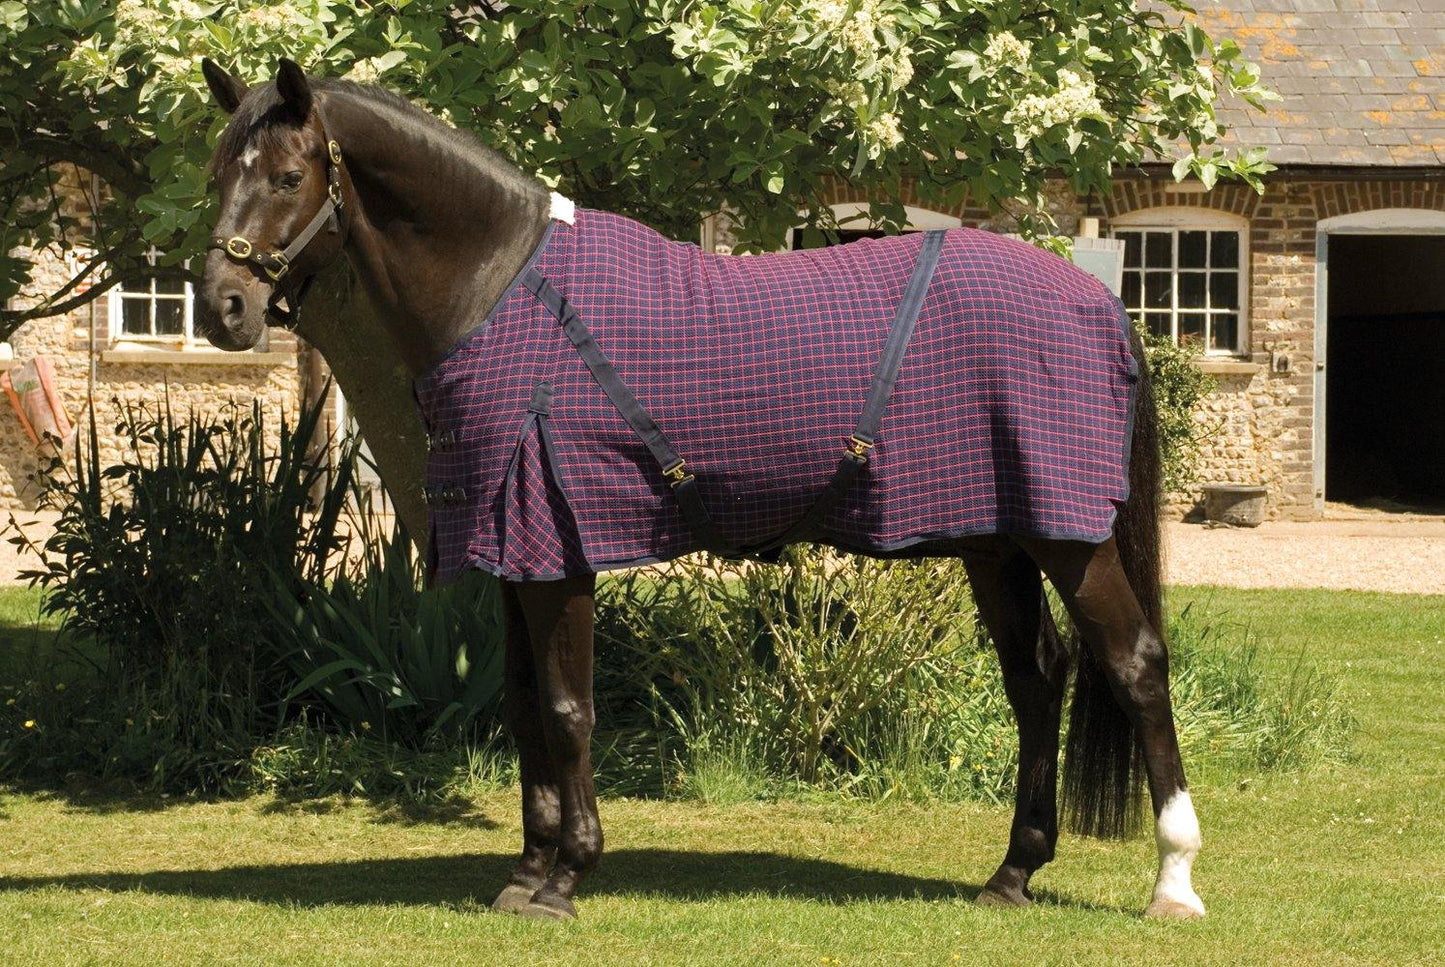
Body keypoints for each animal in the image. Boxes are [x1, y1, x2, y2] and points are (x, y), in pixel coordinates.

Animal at [196, 58, 1204, 922]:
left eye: (287, 175)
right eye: (216, 176)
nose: (222, 308)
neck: (501, 293)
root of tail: (1100, 302)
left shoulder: (557, 546)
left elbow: (567, 711)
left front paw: (566, 878)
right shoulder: (514, 555)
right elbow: (522, 711)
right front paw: (525, 874)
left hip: (1068, 536)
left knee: (1135, 665)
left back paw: (1173, 881)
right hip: (995, 540)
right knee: (1036, 680)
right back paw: (1012, 872)